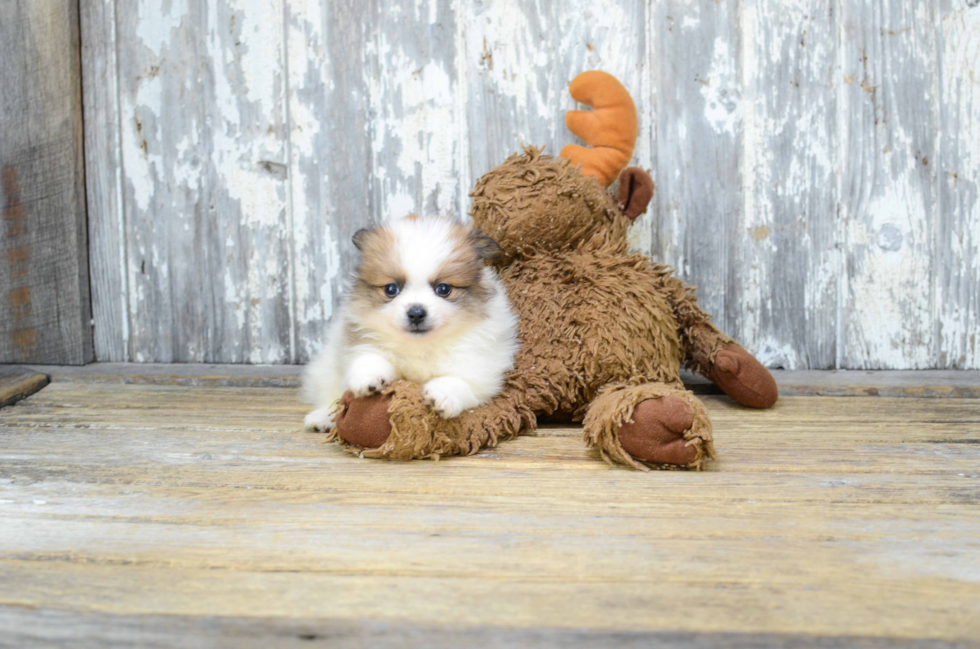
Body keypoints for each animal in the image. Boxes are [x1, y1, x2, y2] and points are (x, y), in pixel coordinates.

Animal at [302, 215, 520, 432]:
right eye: (391, 289)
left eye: (443, 289)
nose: (416, 313)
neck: (420, 345)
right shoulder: (363, 337)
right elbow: (369, 357)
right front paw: (368, 377)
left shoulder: (479, 366)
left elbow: (460, 381)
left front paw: (443, 394)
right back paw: (323, 418)